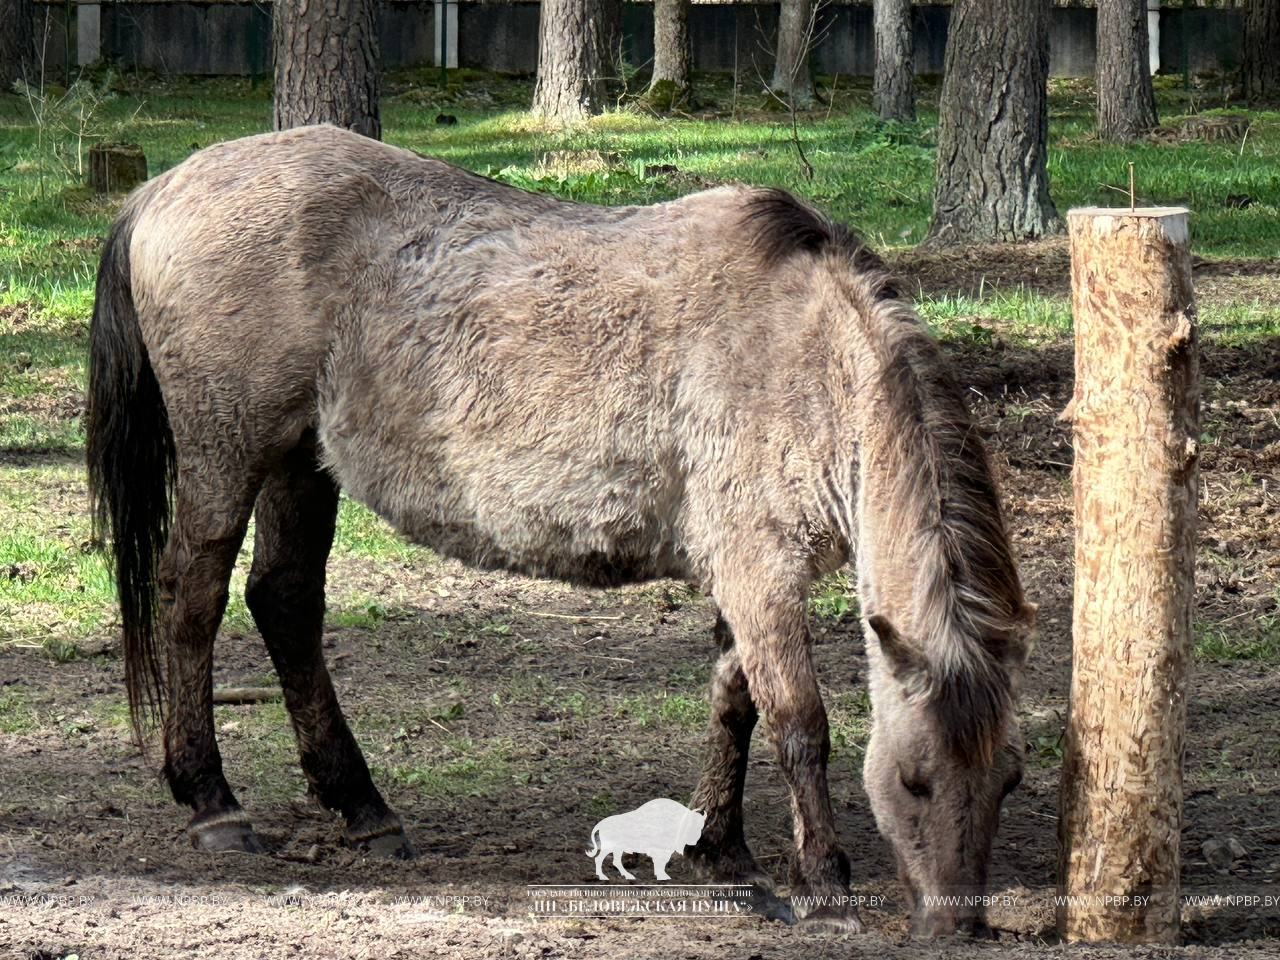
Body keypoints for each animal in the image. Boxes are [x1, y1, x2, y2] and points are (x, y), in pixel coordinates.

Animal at [87, 122, 1029, 942]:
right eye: (914, 780)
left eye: (1010, 779)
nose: (960, 923)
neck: (805, 354)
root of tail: (160, 188)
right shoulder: (761, 572)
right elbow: (798, 723)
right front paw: (823, 884)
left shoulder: (737, 573)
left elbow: (734, 701)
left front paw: (722, 854)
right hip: (229, 451)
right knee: (194, 599)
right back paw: (212, 801)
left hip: (300, 460)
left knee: (284, 601)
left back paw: (363, 808)